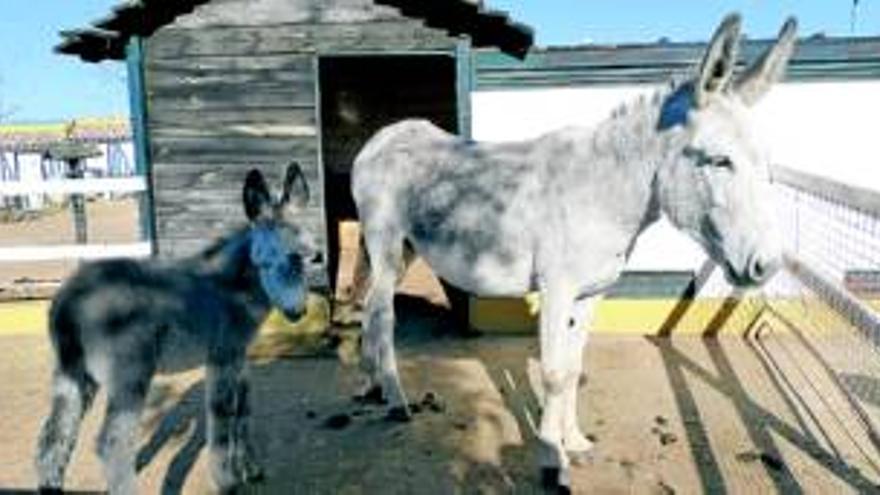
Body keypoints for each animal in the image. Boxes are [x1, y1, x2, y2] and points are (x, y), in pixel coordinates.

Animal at [35, 162, 316, 492]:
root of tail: (68, 297)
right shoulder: (222, 356)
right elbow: (222, 419)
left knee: (52, 440)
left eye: (311, 259)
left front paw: (251, 468)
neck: (230, 289)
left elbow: (243, 409)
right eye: (265, 263)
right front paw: (228, 483)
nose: (296, 312)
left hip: (74, 374)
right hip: (130, 374)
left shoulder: (240, 355)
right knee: (113, 444)